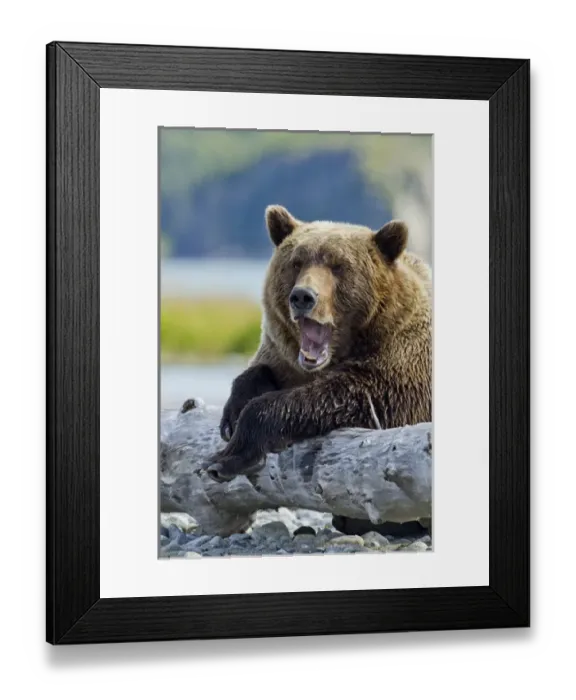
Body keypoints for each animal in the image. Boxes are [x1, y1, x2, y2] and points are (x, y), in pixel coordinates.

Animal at [204, 204, 432, 486]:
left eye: (338, 265)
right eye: (296, 262)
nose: (303, 296)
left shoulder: (399, 370)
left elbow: (341, 396)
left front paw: (224, 458)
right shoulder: (281, 354)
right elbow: (258, 370)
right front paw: (232, 415)